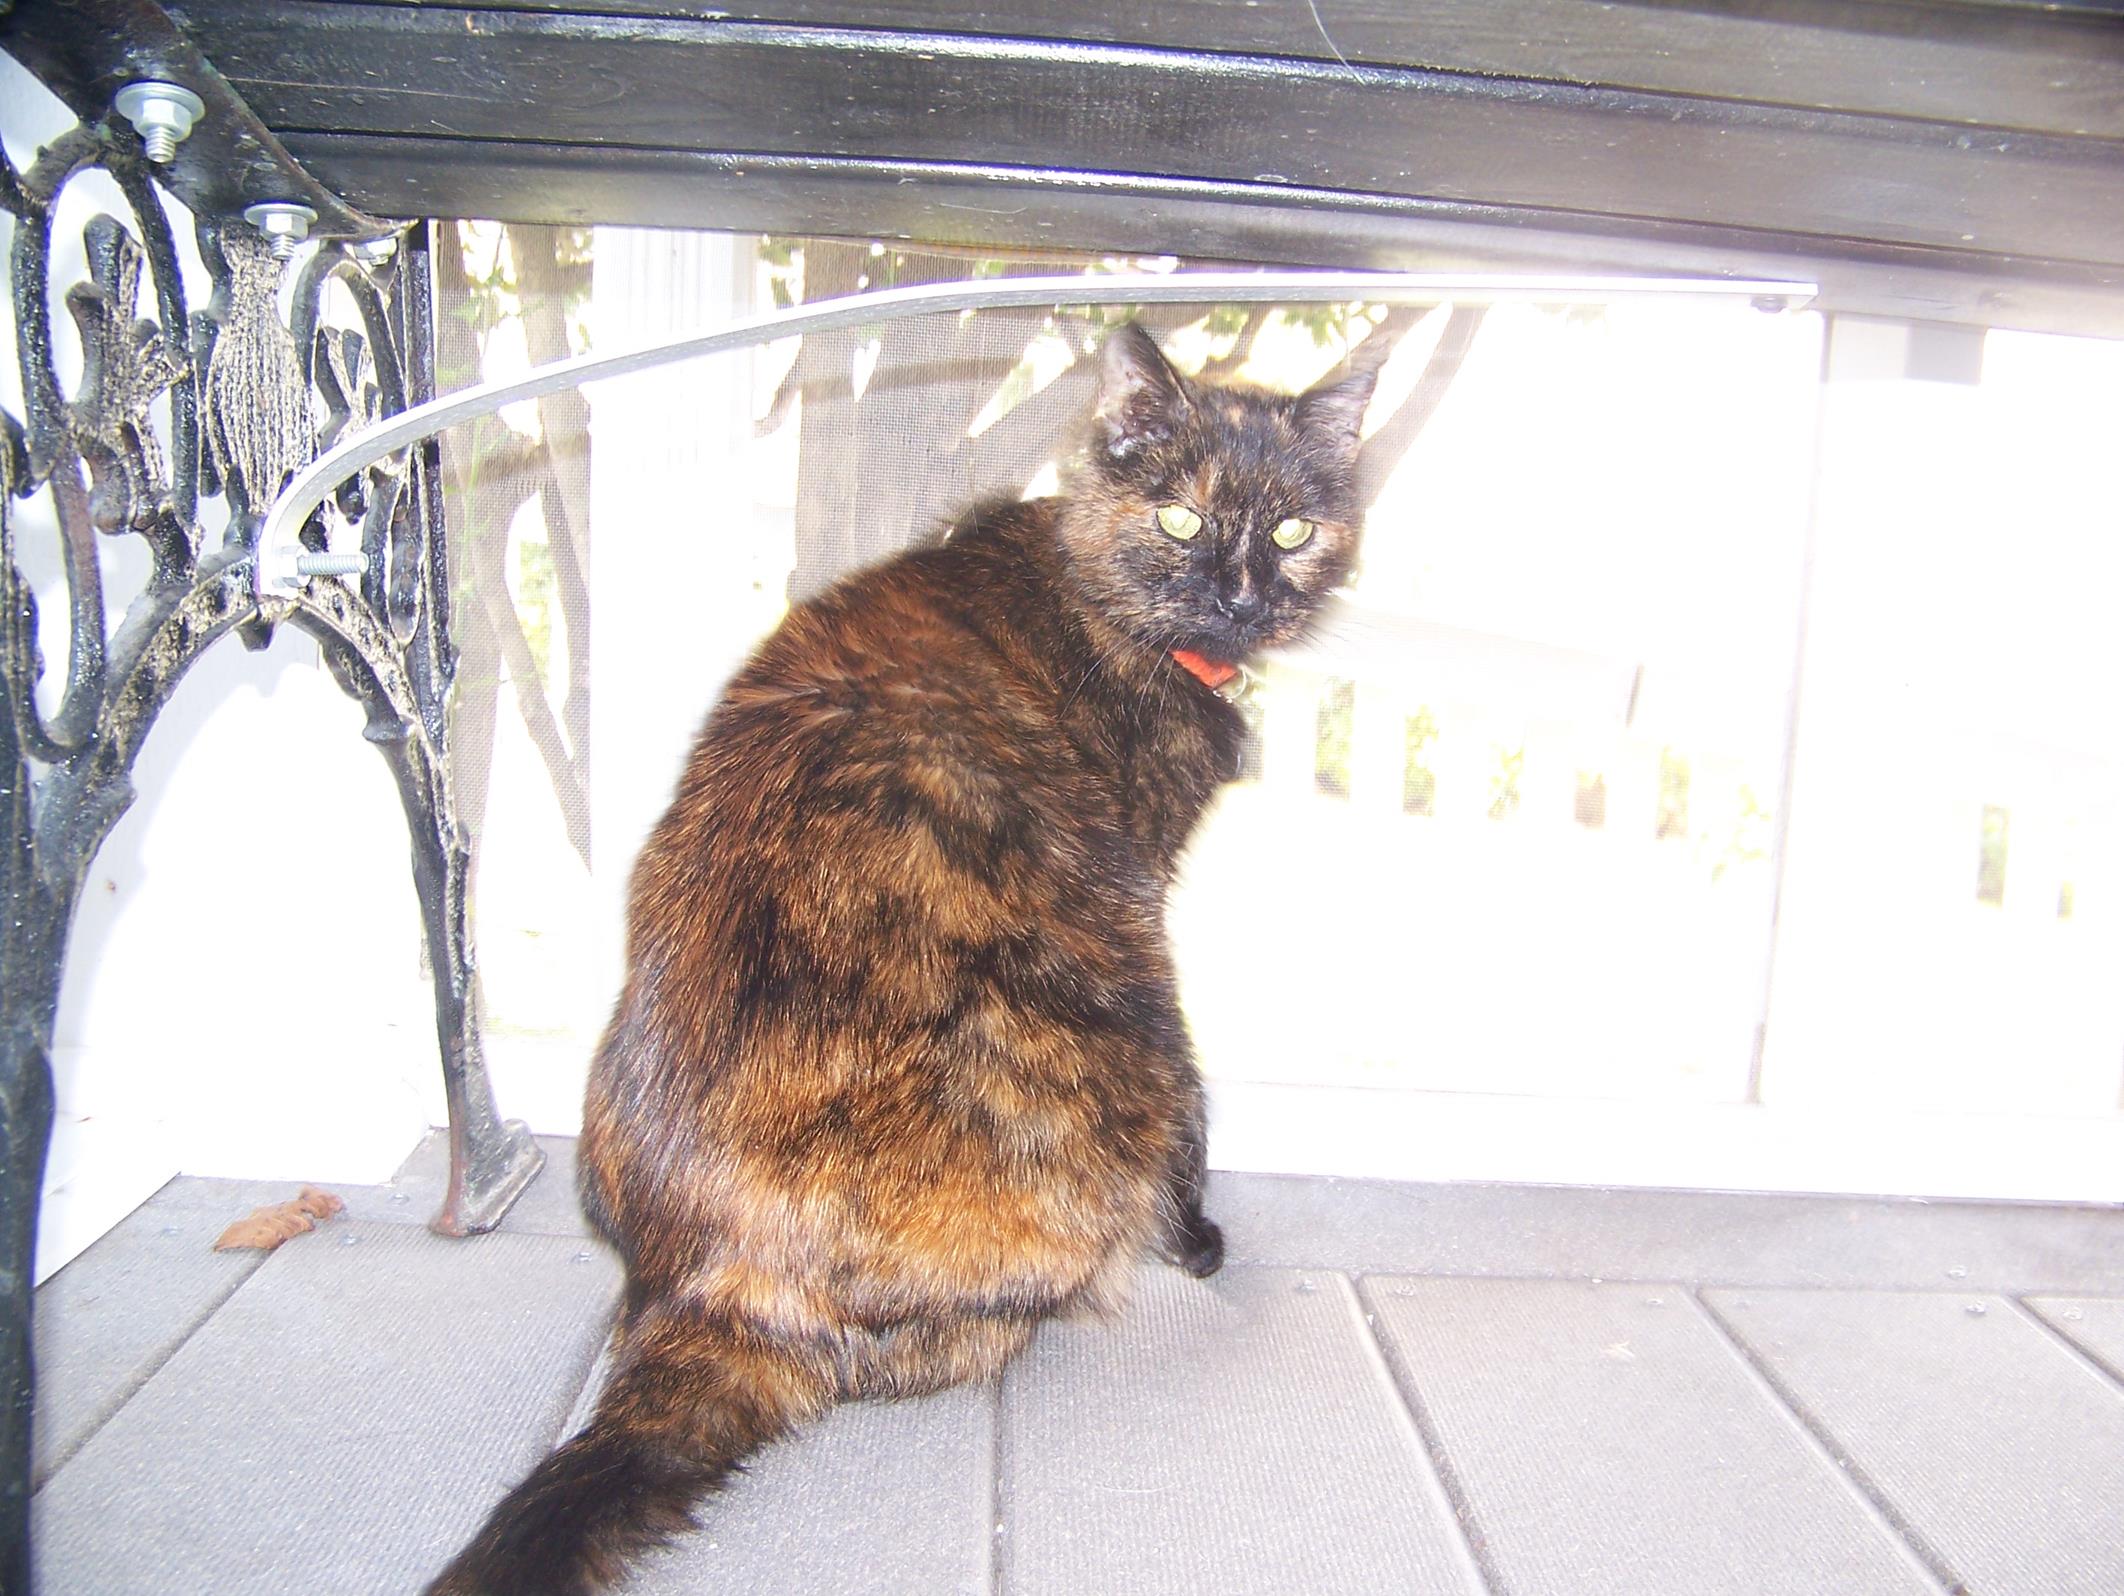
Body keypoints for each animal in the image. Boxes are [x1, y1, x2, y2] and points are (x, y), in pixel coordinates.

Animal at [431, 318, 1376, 1589]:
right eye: (1182, 519)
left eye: (1291, 530)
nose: (1239, 597)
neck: (1089, 592)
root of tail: (707, 1285)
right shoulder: (1145, 901)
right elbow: (1196, 1120)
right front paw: (1202, 1240)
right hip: (1109, 1030)